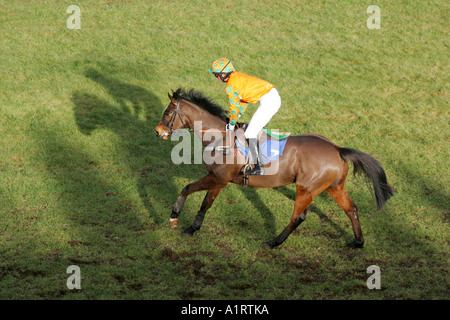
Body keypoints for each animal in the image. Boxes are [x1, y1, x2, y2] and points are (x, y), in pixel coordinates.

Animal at [153, 89, 392, 249]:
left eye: (167, 113)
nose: (157, 131)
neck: (220, 136)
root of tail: (337, 149)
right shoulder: (215, 177)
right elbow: (192, 192)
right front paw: (179, 219)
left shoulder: (219, 179)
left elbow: (199, 198)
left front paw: (186, 224)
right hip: (334, 187)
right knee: (351, 209)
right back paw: (358, 242)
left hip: (306, 189)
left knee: (298, 217)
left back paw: (273, 242)